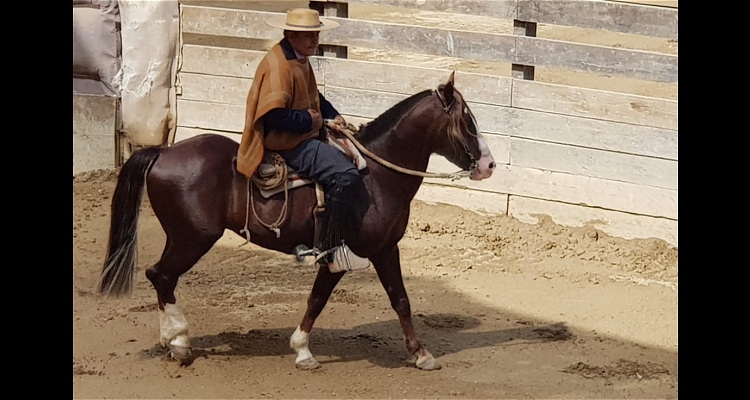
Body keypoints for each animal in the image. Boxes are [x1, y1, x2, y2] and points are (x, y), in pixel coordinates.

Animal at [98, 71, 500, 368]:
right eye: (467, 120)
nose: (489, 164)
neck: (375, 177)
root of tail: (162, 152)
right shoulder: (342, 254)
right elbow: (318, 299)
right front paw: (303, 350)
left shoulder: (386, 249)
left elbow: (399, 299)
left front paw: (419, 353)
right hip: (192, 239)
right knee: (161, 275)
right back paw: (179, 342)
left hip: (183, 237)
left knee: (160, 277)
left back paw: (173, 340)